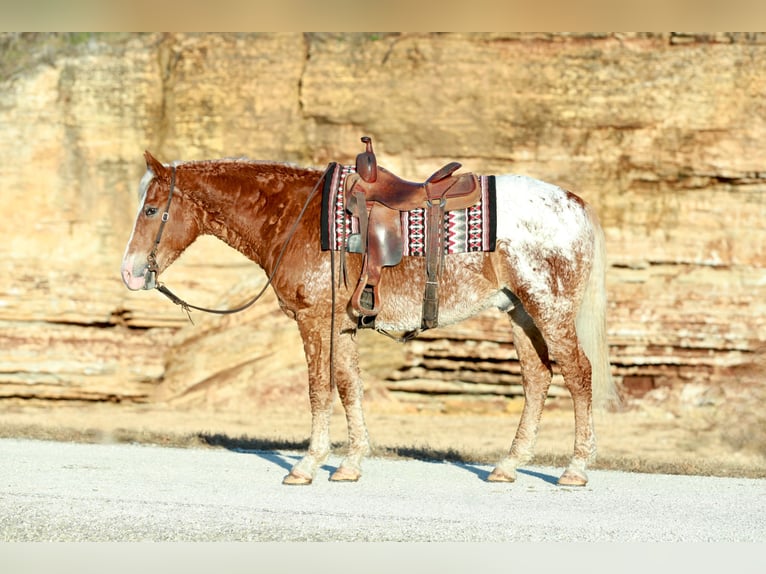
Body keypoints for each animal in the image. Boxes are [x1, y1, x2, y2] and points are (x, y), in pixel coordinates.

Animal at [121, 149, 615, 486]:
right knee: (537, 378)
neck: (297, 218)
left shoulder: (314, 321)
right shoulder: (341, 326)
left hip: (549, 308)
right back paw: (509, 466)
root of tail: (573, 201)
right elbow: (348, 387)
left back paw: (575, 469)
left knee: (578, 374)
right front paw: (351, 462)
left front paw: (307, 464)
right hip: (519, 313)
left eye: (150, 209)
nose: (129, 272)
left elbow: (318, 390)